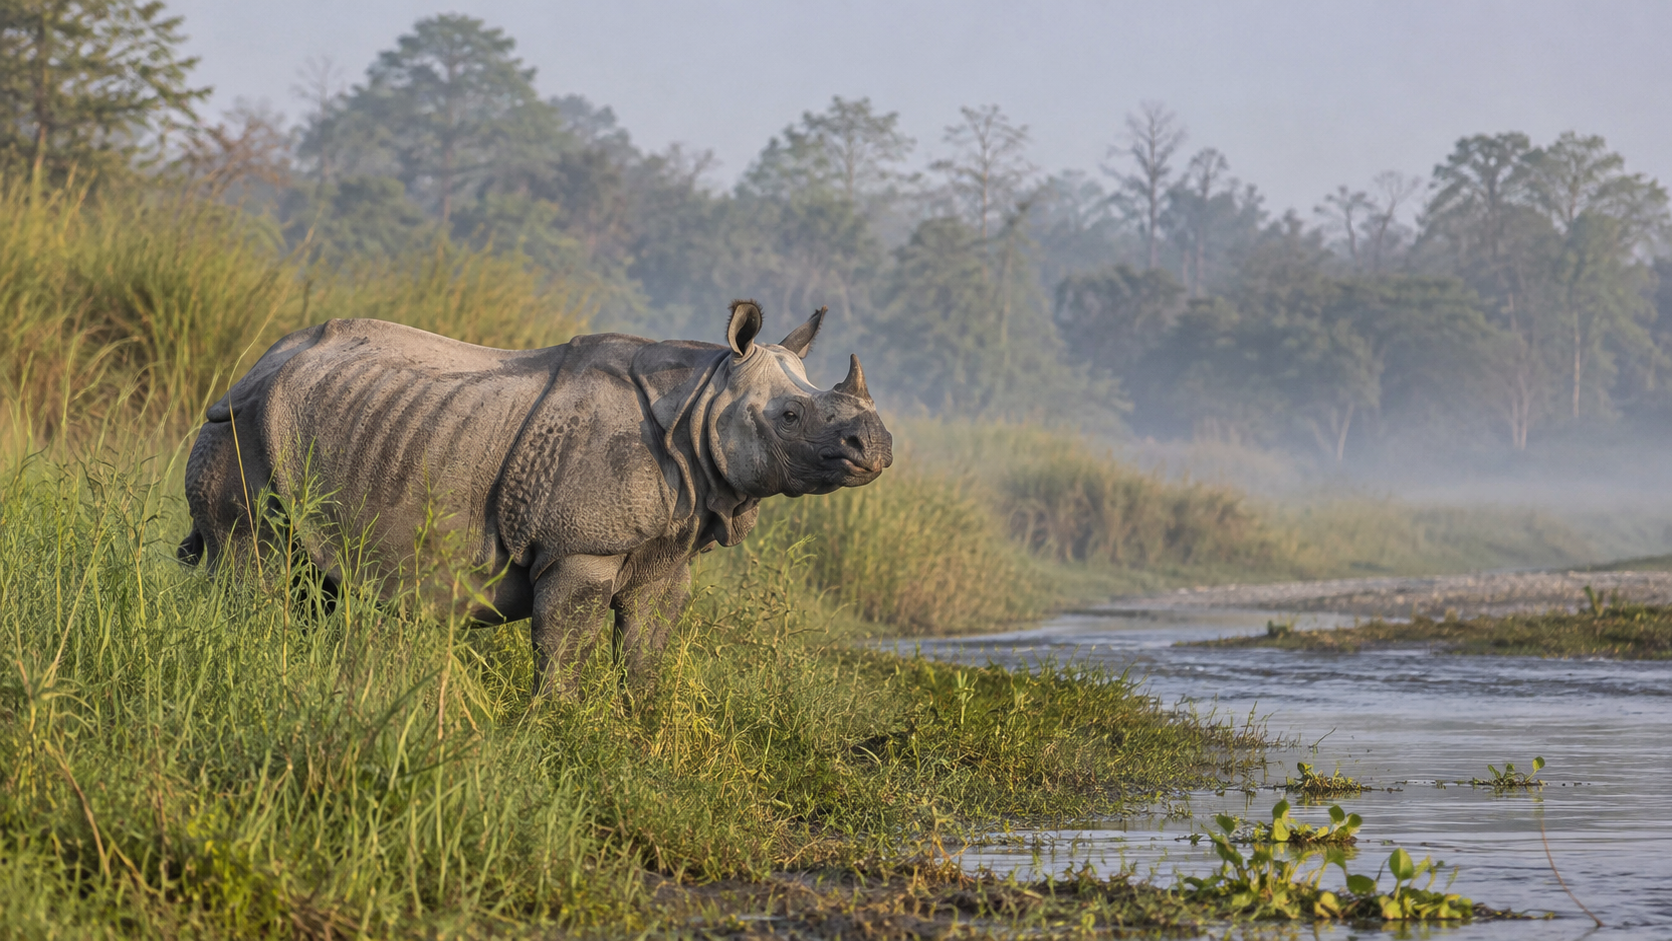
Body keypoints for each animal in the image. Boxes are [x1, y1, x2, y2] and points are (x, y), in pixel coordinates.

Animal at [178, 300, 892, 693]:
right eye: (791, 417)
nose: (876, 446)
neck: (704, 397)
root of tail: (259, 364)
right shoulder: (582, 546)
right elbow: (566, 646)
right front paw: (560, 726)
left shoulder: (670, 546)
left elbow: (648, 647)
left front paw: (644, 728)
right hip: (239, 425)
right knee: (253, 558)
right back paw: (247, 655)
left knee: (318, 576)